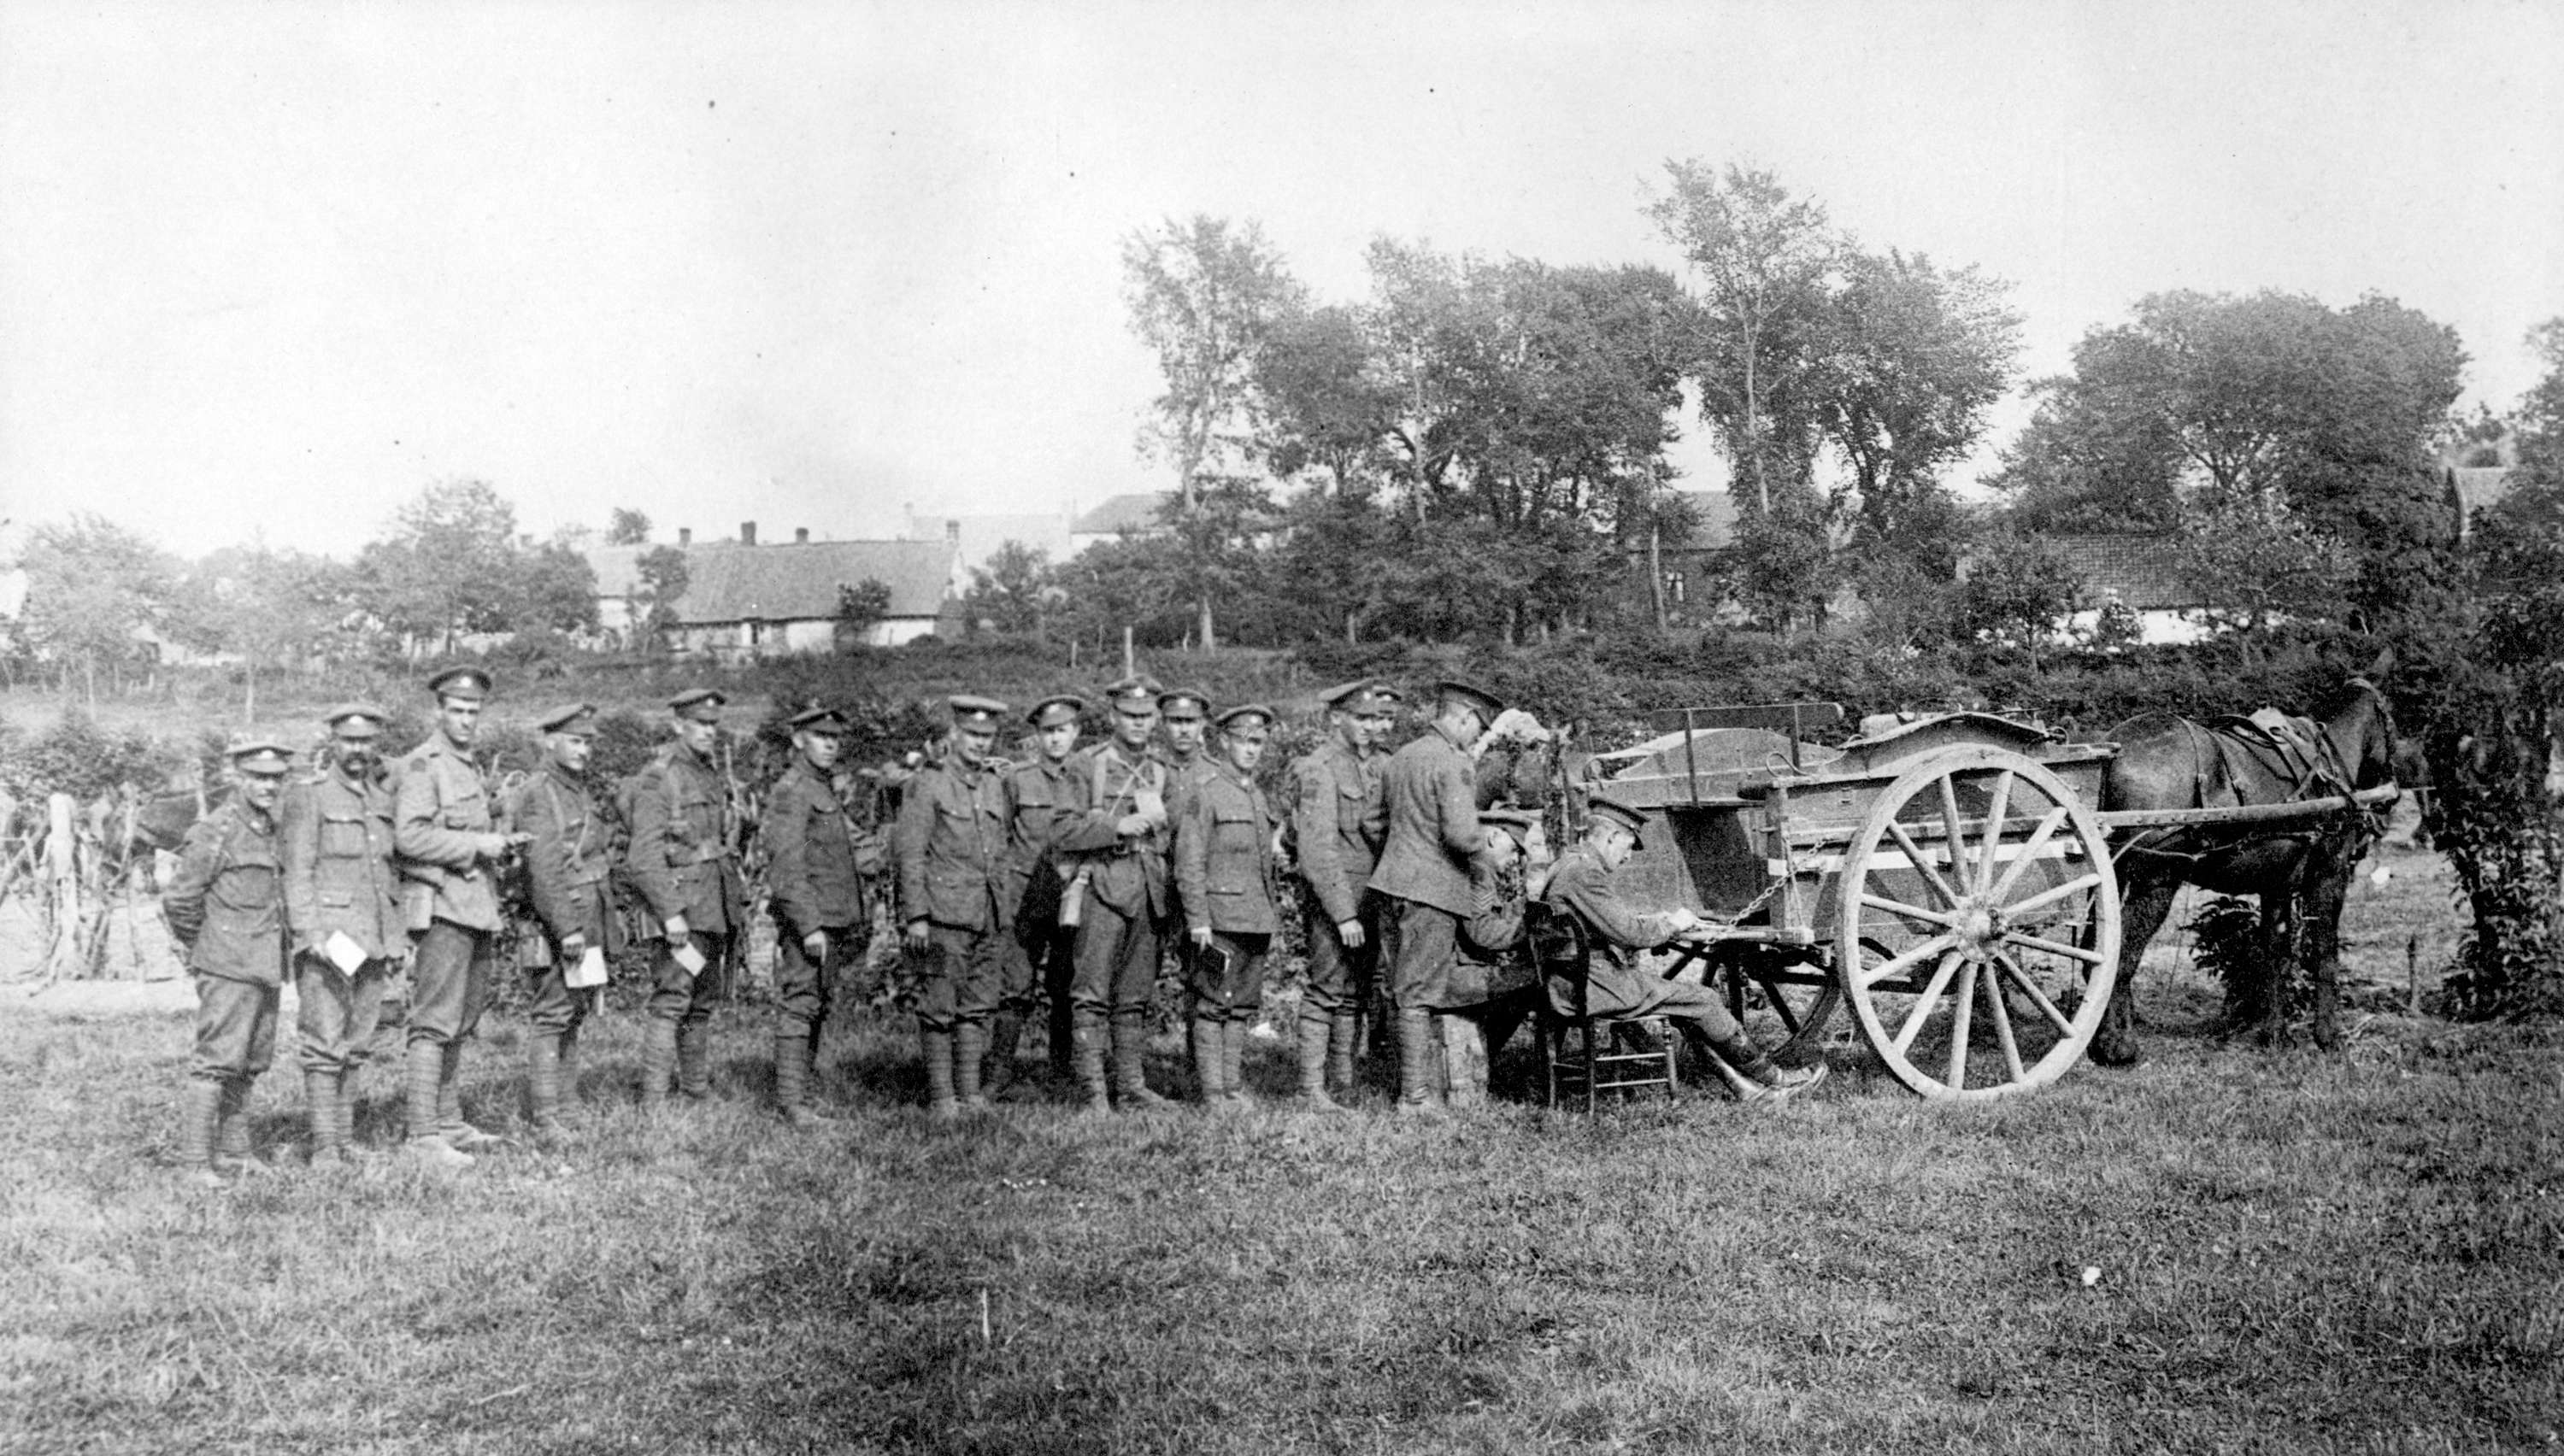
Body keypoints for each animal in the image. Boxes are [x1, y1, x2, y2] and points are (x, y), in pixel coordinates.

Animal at [2092, 672, 2390, 1071]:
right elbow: (2324, 955)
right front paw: (2329, 1038)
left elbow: (2276, 955)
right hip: (2155, 884)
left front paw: (2275, 1034)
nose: (2388, 801)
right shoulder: (2329, 877)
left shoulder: (2277, 886)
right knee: (2121, 958)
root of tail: (2118, 750)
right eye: (2390, 720)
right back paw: (2117, 1046)